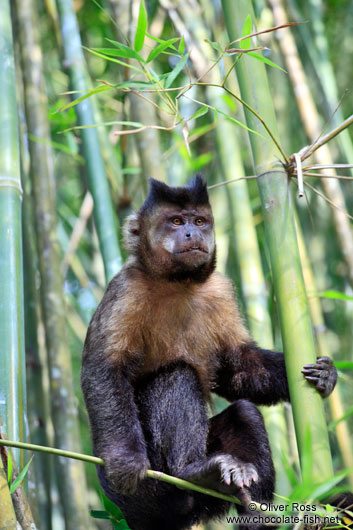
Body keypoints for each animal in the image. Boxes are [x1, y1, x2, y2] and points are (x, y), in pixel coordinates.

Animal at [81, 175, 346, 524]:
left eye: (199, 221)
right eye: (175, 221)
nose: (191, 233)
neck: (178, 282)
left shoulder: (220, 290)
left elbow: (237, 368)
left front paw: (324, 374)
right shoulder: (125, 290)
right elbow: (104, 370)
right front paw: (124, 460)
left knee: (245, 413)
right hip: (139, 497)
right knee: (177, 375)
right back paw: (192, 471)